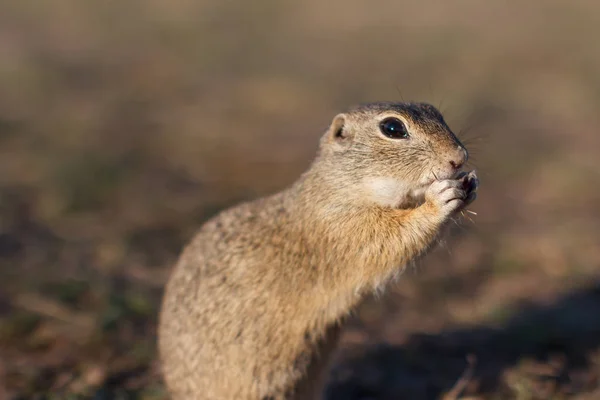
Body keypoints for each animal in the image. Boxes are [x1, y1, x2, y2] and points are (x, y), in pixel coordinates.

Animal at [158, 102, 478, 400]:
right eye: (392, 128)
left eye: (435, 111)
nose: (459, 157)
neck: (339, 187)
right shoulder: (343, 226)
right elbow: (388, 238)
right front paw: (440, 198)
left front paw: (470, 184)